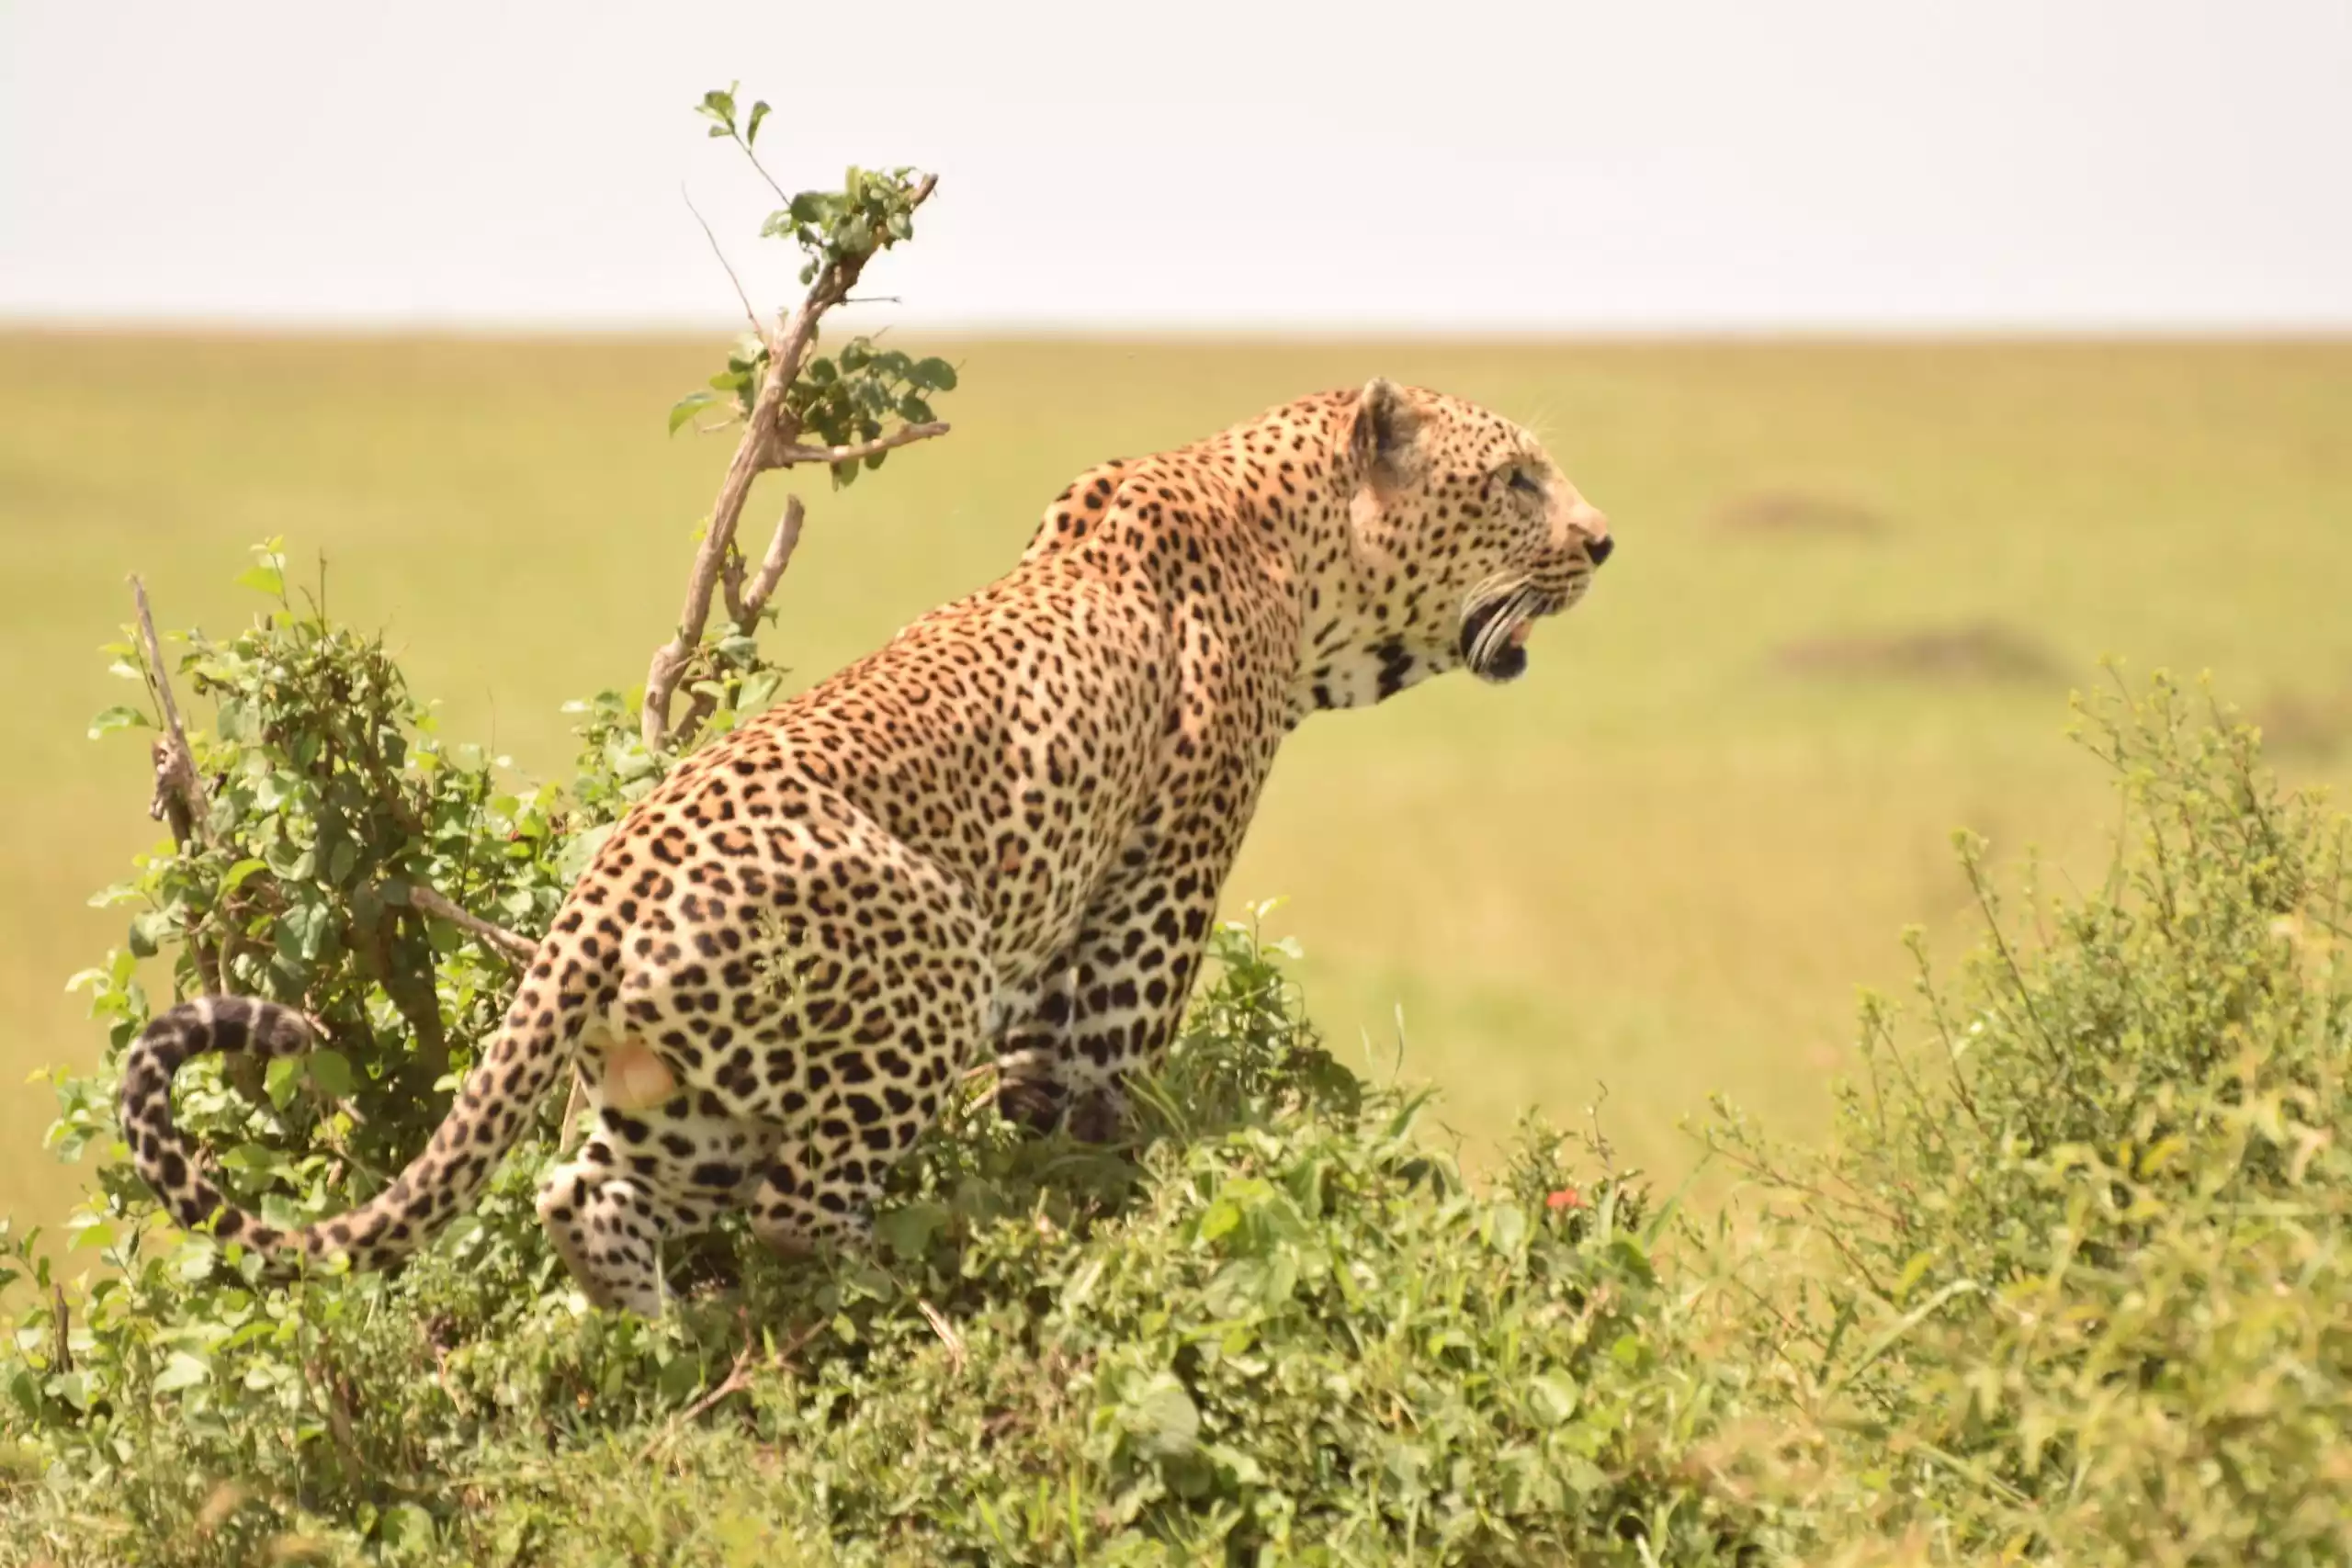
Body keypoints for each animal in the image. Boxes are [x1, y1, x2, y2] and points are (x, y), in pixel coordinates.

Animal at [119, 378, 1615, 1317]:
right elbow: (1106, 1107)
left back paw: (669, 1347)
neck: (1301, 562)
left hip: (680, 1086)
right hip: (924, 968)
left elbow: (1040, 1107)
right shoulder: (1152, 903)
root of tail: (603, 882)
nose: (1604, 540)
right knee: (794, 1207)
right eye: (1516, 476)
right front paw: (1107, 1220)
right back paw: (883, 1310)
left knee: (581, 1190)